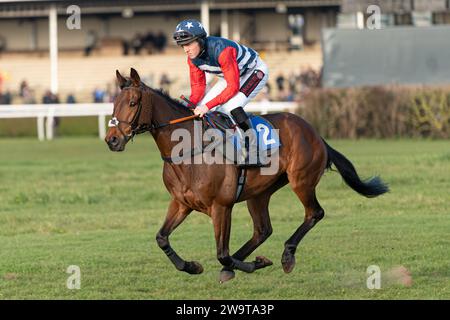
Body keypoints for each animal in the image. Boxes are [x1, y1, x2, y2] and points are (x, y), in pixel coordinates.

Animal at [104, 68, 386, 282]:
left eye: (133, 103)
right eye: (114, 104)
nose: (112, 140)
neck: (188, 150)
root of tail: (316, 133)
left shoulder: (221, 206)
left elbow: (222, 252)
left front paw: (255, 263)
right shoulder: (181, 203)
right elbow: (162, 238)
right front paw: (193, 266)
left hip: (301, 181)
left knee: (314, 213)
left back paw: (286, 256)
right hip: (259, 193)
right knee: (263, 230)